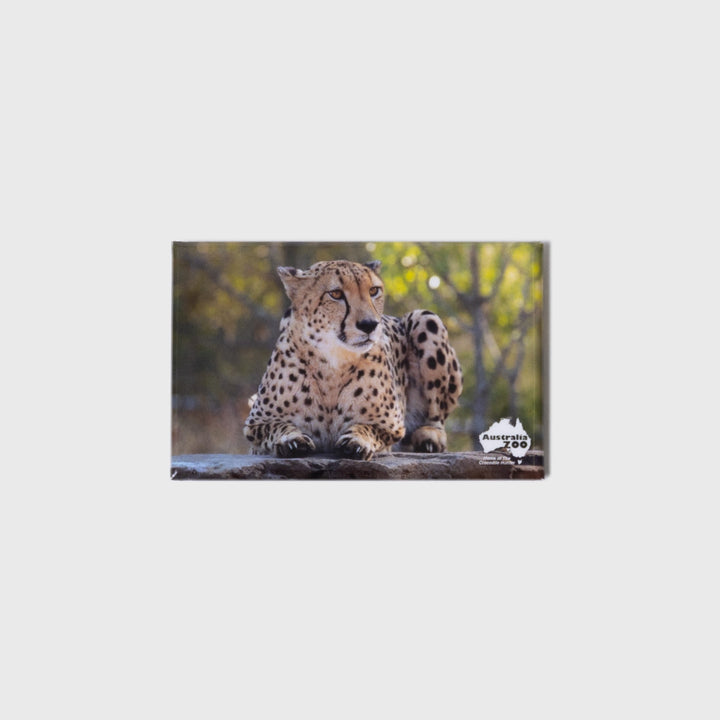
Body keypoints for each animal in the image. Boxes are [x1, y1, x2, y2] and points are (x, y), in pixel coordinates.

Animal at [243, 259, 463, 460]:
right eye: (336, 294)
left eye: (373, 290)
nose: (369, 324)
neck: (332, 362)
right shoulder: (254, 424)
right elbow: (276, 426)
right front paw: (291, 439)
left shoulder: (392, 425)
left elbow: (369, 427)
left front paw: (357, 440)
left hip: (426, 318)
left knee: (436, 416)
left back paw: (430, 436)